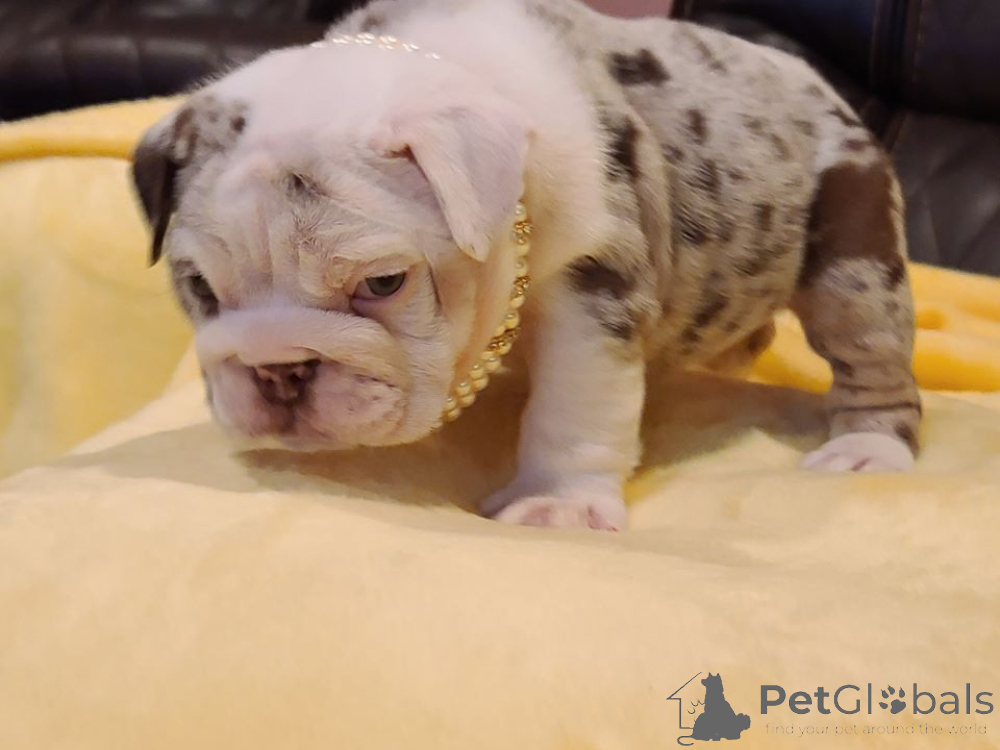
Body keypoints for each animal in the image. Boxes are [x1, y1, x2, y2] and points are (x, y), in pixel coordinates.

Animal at [131, 0, 921, 531]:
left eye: (383, 284)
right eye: (199, 287)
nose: (279, 371)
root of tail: (815, 83)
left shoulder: (593, 292)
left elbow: (573, 405)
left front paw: (556, 505)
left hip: (854, 257)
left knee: (872, 360)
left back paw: (865, 449)